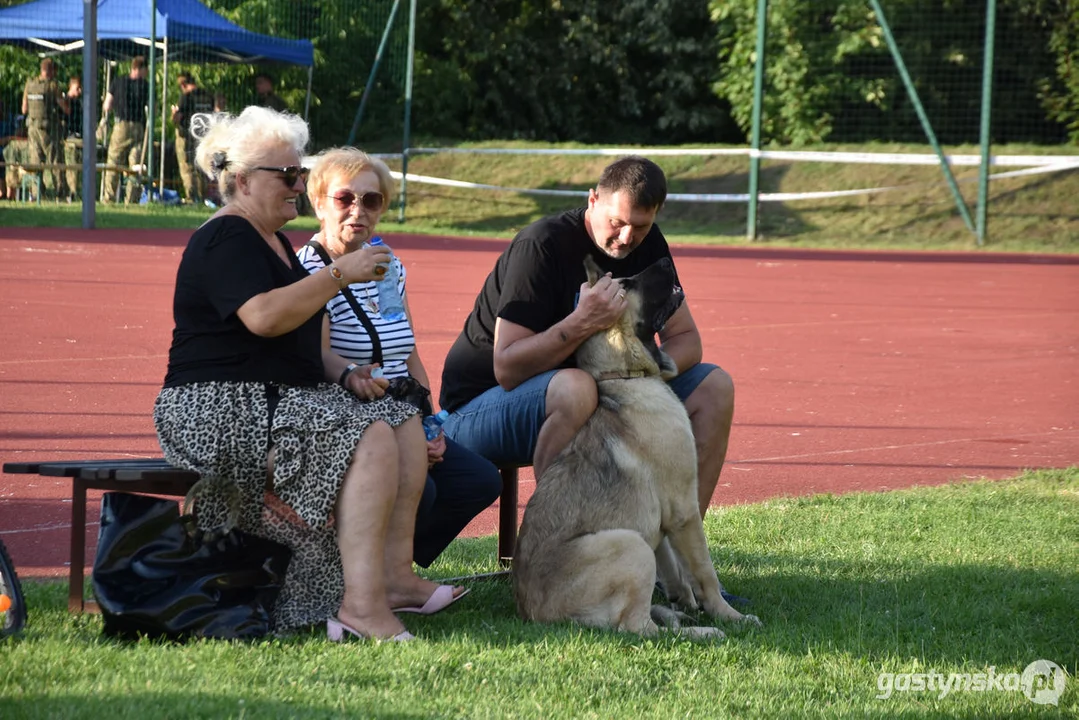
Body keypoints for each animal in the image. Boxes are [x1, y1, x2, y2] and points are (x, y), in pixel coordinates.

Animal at [511, 255, 759, 639]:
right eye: (626, 283)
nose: (666, 259)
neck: (626, 377)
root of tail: (535, 615)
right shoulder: (684, 509)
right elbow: (704, 570)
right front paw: (728, 615)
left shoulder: (666, 517)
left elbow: (674, 564)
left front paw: (685, 599)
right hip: (629, 544)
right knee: (641, 630)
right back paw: (700, 631)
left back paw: (677, 614)